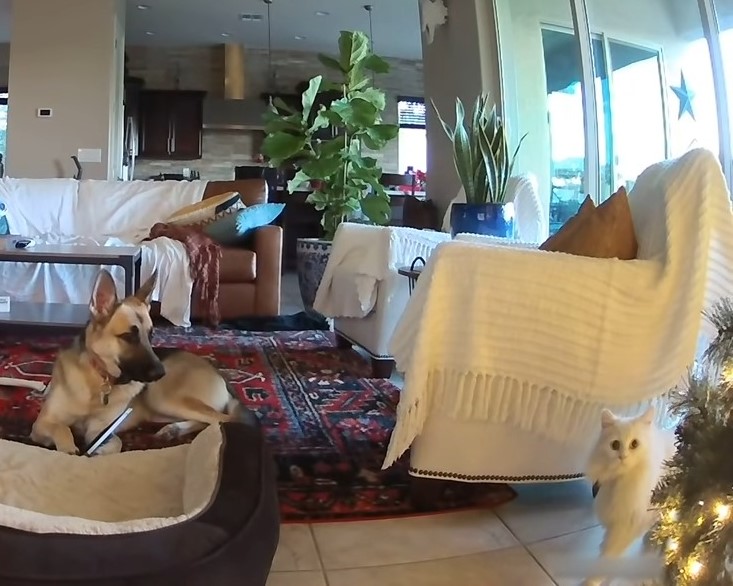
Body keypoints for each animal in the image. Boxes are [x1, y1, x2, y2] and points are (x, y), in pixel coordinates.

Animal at [30, 266, 237, 454]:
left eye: (151, 335)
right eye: (129, 336)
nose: (161, 373)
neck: (98, 379)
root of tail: (219, 375)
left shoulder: (99, 431)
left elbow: (116, 443)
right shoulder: (41, 424)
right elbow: (62, 428)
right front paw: (68, 448)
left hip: (161, 397)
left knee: (224, 420)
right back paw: (174, 430)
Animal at [584, 406, 668, 584]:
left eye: (634, 444)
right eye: (615, 445)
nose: (622, 457)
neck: (621, 481)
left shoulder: (624, 527)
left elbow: (606, 557)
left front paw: (592, 581)